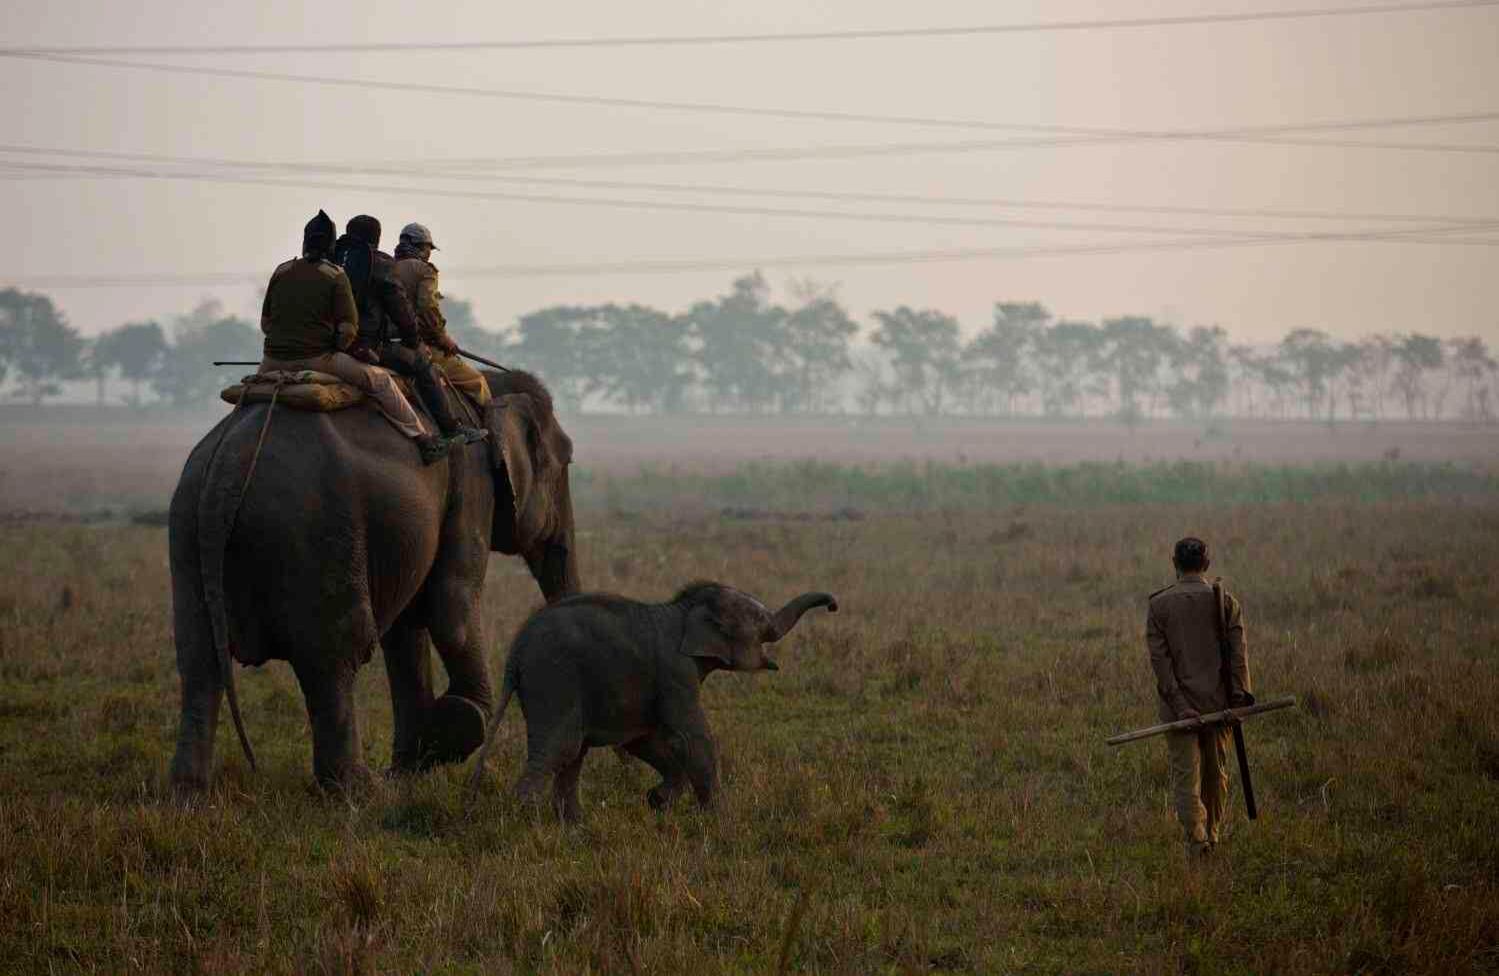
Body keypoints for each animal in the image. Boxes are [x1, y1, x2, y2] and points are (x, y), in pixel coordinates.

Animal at [168, 369, 579, 791]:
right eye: (566, 461)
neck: (485, 389)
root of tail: (227, 469)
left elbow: (406, 632)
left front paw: (409, 771)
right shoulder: (472, 484)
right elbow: (452, 607)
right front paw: (448, 733)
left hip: (188, 528)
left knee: (199, 656)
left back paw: (190, 791)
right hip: (317, 531)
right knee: (336, 651)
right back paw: (360, 790)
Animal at [468, 582, 838, 821]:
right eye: (761, 621)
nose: (833, 606)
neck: (687, 609)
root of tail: (516, 650)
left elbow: (642, 738)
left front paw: (657, 802)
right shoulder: (676, 671)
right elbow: (691, 737)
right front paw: (720, 820)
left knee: (573, 751)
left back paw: (573, 826)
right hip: (554, 678)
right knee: (562, 746)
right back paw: (525, 821)